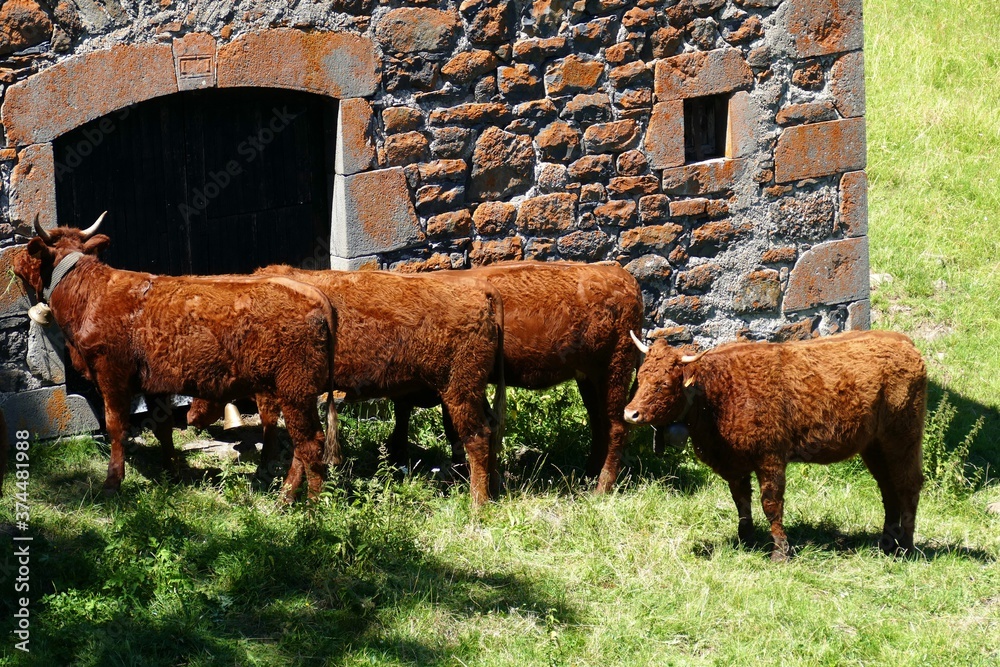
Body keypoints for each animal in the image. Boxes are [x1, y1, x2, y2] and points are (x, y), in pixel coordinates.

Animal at [13, 217, 339, 502]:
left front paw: (112, 483)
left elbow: (116, 428)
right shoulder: (155, 385)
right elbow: (164, 428)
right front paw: (173, 472)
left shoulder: (112, 377)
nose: (13, 260)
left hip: (295, 388)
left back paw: (310, 507)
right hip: (295, 392)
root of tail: (312, 293)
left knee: (310, 444)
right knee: (302, 445)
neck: (90, 293)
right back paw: (286, 497)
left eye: (31, 248)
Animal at [190, 265, 506, 505]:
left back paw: (478, 503)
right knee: (492, 429)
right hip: (473, 391)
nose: (190, 416)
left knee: (477, 437)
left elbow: (274, 432)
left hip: (459, 389)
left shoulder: (276, 390)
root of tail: (480, 289)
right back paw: (494, 489)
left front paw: (269, 477)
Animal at [389, 261, 644, 493]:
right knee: (599, 424)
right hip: (589, 378)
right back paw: (588, 476)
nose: (395, 463)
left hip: (613, 371)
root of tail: (621, 276)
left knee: (616, 426)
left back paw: (602, 487)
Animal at [624, 330, 927, 560]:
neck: (719, 392)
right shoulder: (734, 463)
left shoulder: (770, 457)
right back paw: (887, 543)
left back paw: (907, 547)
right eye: (640, 377)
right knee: (888, 489)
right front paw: (745, 539)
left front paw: (780, 551)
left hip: (903, 438)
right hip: (874, 447)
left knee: (908, 486)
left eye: (663, 384)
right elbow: (741, 501)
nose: (630, 413)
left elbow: (771, 503)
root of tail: (905, 342)